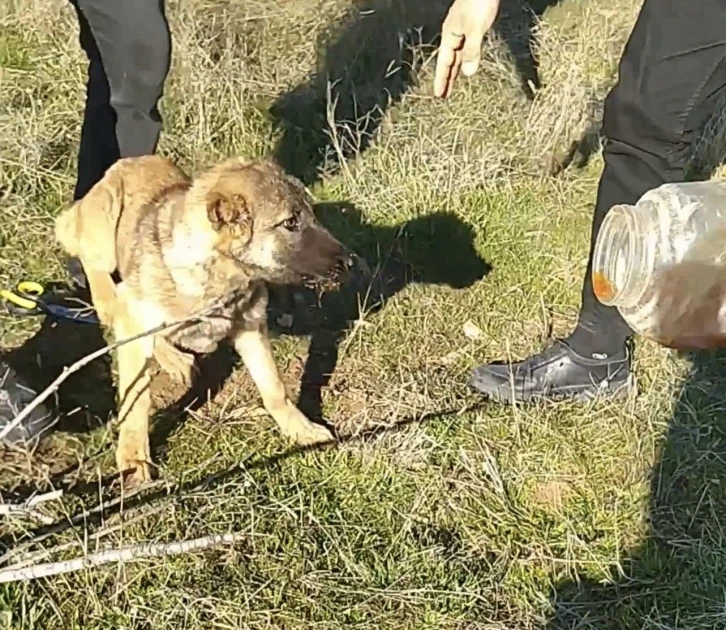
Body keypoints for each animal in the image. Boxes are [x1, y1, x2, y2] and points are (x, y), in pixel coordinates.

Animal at [53, 156, 358, 486]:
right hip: (103, 235)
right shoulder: (135, 316)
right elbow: (136, 400)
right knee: (104, 287)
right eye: (290, 223)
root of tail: (124, 163)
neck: (219, 276)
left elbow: (274, 387)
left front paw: (300, 429)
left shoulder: (251, 327)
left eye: (311, 214)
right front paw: (134, 460)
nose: (351, 262)